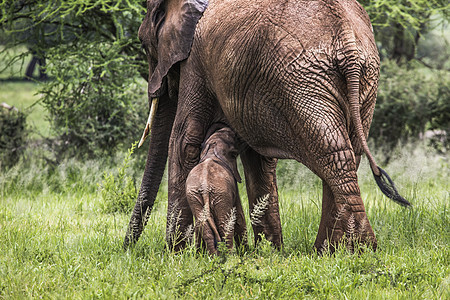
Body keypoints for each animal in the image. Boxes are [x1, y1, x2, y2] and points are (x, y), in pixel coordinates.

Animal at [185, 125, 248, 254]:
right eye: (234, 137)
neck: (212, 149)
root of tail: (205, 188)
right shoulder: (233, 187)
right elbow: (239, 215)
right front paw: (247, 252)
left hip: (194, 196)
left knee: (204, 226)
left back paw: (212, 255)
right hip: (221, 195)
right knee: (225, 226)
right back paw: (229, 255)